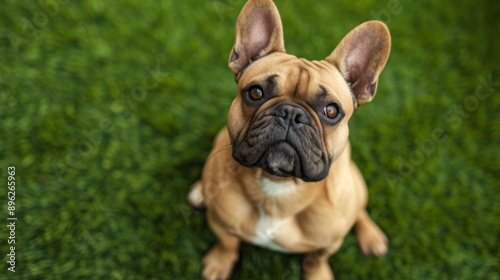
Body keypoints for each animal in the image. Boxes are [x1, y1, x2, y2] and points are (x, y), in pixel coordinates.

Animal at [188, 1, 390, 278]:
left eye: (331, 111)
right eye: (255, 93)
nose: (291, 113)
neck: (278, 186)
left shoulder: (329, 242)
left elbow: (316, 259)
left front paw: (318, 274)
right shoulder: (219, 221)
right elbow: (227, 243)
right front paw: (220, 263)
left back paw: (372, 236)